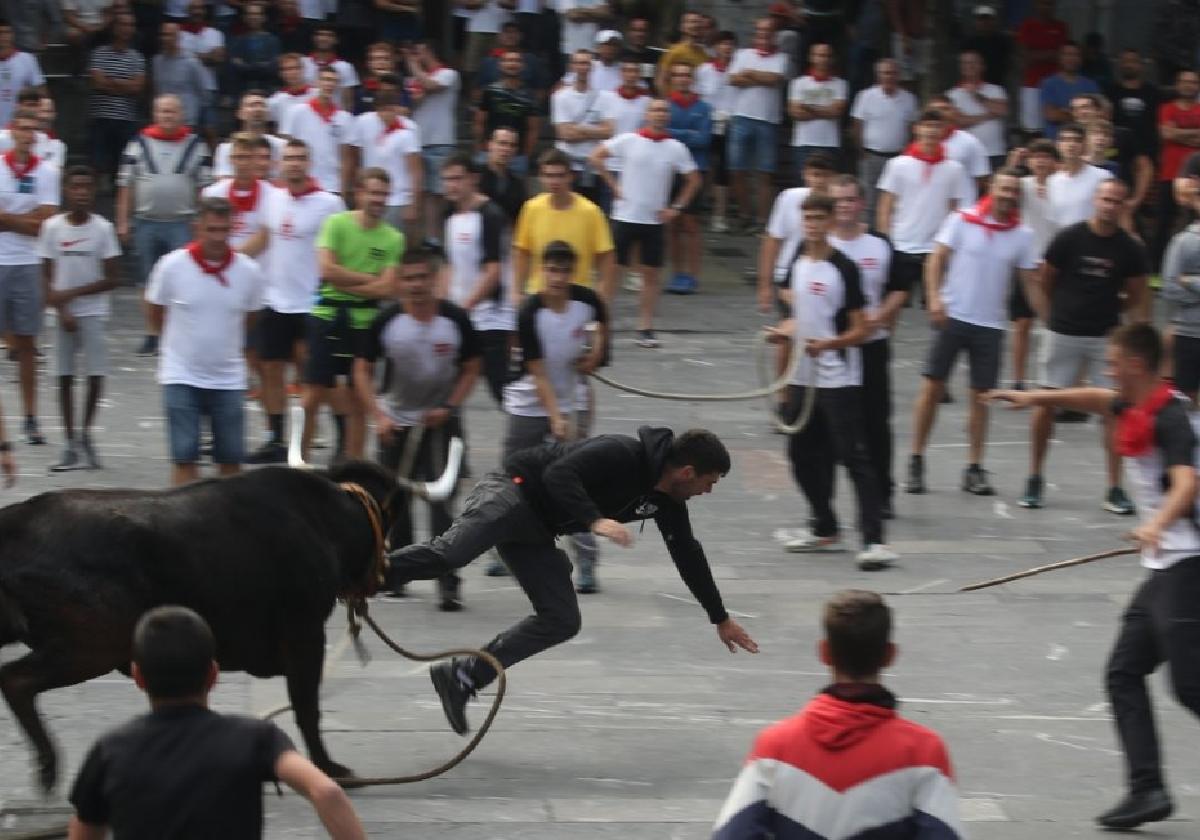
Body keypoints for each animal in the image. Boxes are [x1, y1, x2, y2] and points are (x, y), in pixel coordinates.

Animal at [0, 463, 398, 792]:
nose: (388, 570)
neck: (327, 520)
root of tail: (16, 519)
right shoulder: (305, 634)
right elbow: (307, 706)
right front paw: (328, 767)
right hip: (94, 646)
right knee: (15, 681)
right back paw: (48, 764)